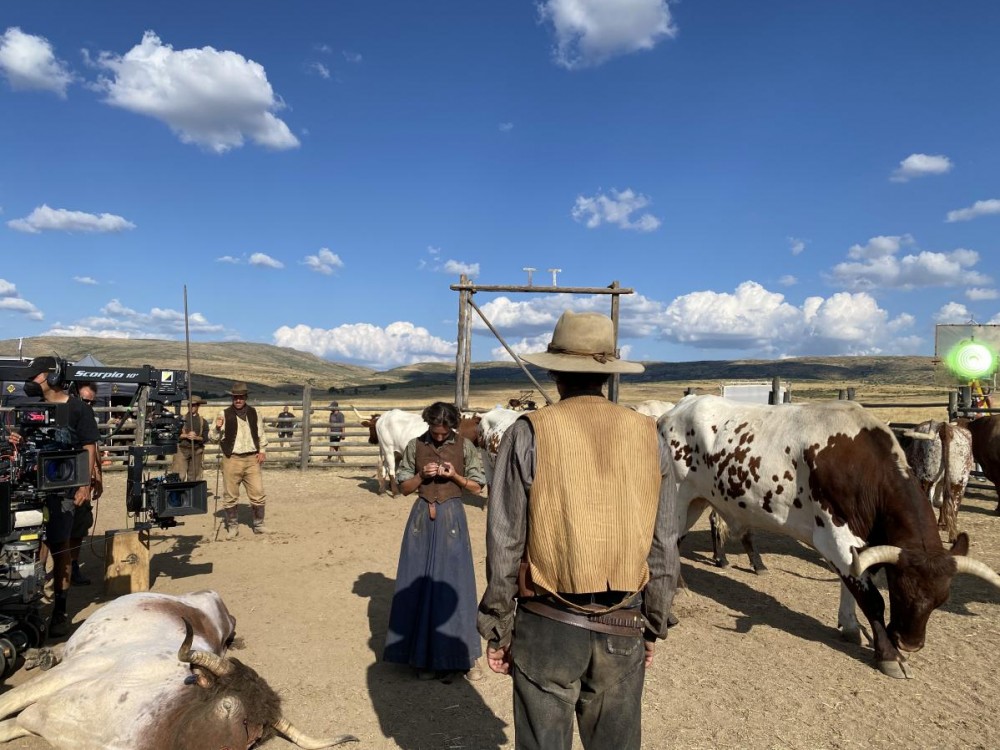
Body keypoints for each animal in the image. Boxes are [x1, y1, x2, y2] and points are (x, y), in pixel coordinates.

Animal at [0, 590, 356, 749]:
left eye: (255, 738)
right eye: (227, 707)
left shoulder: (41, 720)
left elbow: (12, 723)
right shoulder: (77, 671)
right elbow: (9, 702)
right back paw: (43, 654)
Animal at [658, 394, 1000, 679]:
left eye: (942, 599)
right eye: (901, 590)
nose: (910, 643)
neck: (864, 467)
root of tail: (674, 411)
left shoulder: (859, 546)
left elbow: (852, 586)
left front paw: (849, 625)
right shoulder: (837, 536)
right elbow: (870, 599)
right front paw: (890, 655)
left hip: (697, 500)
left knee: (675, 541)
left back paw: (681, 586)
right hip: (677, 497)